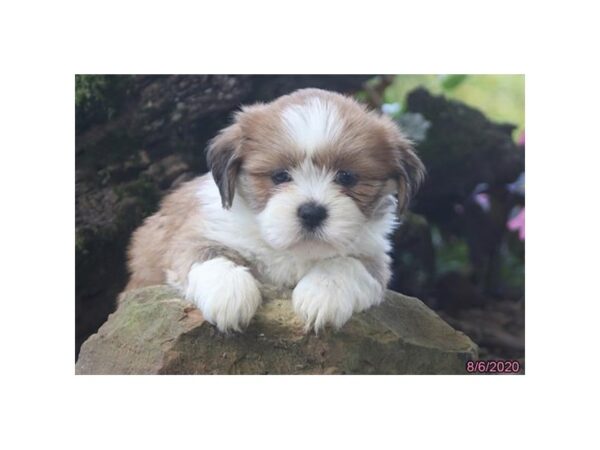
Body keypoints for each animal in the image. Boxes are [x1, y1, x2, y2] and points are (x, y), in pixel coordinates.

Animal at [125, 89, 426, 334]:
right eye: (280, 176)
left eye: (347, 177)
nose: (312, 212)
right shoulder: (197, 234)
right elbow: (208, 255)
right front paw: (229, 293)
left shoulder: (374, 256)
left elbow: (347, 264)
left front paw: (323, 293)